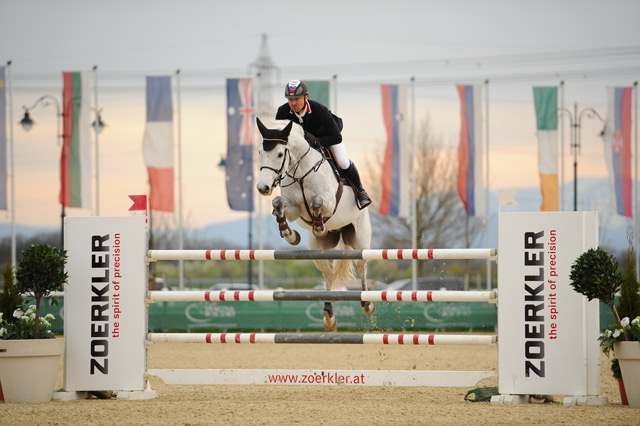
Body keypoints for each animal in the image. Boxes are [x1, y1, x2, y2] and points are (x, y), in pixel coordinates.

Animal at [255, 118, 376, 332]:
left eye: (280, 154)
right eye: (260, 152)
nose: (263, 188)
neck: (301, 171)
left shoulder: (329, 202)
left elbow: (316, 202)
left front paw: (319, 226)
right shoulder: (294, 210)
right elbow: (278, 204)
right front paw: (291, 235)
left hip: (360, 241)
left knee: (362, 267)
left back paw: (367, 303)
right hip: (318, 251)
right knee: (328, 275)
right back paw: (329, 316)